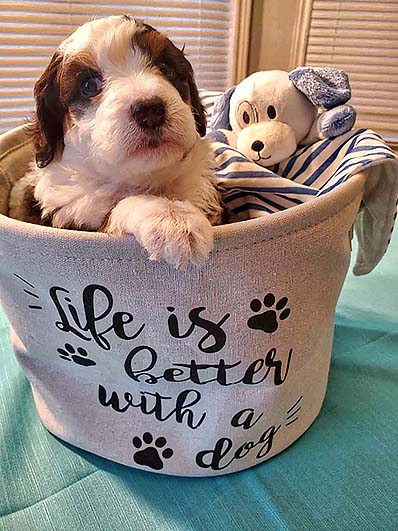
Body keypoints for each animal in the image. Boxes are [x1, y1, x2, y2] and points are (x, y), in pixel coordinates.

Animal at [11, 15, 224, 270]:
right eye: (88, 85)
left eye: (165, 68)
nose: (150, 111)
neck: (147, 179)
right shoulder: (68, 215)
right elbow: (114, 209)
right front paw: (173, 218)